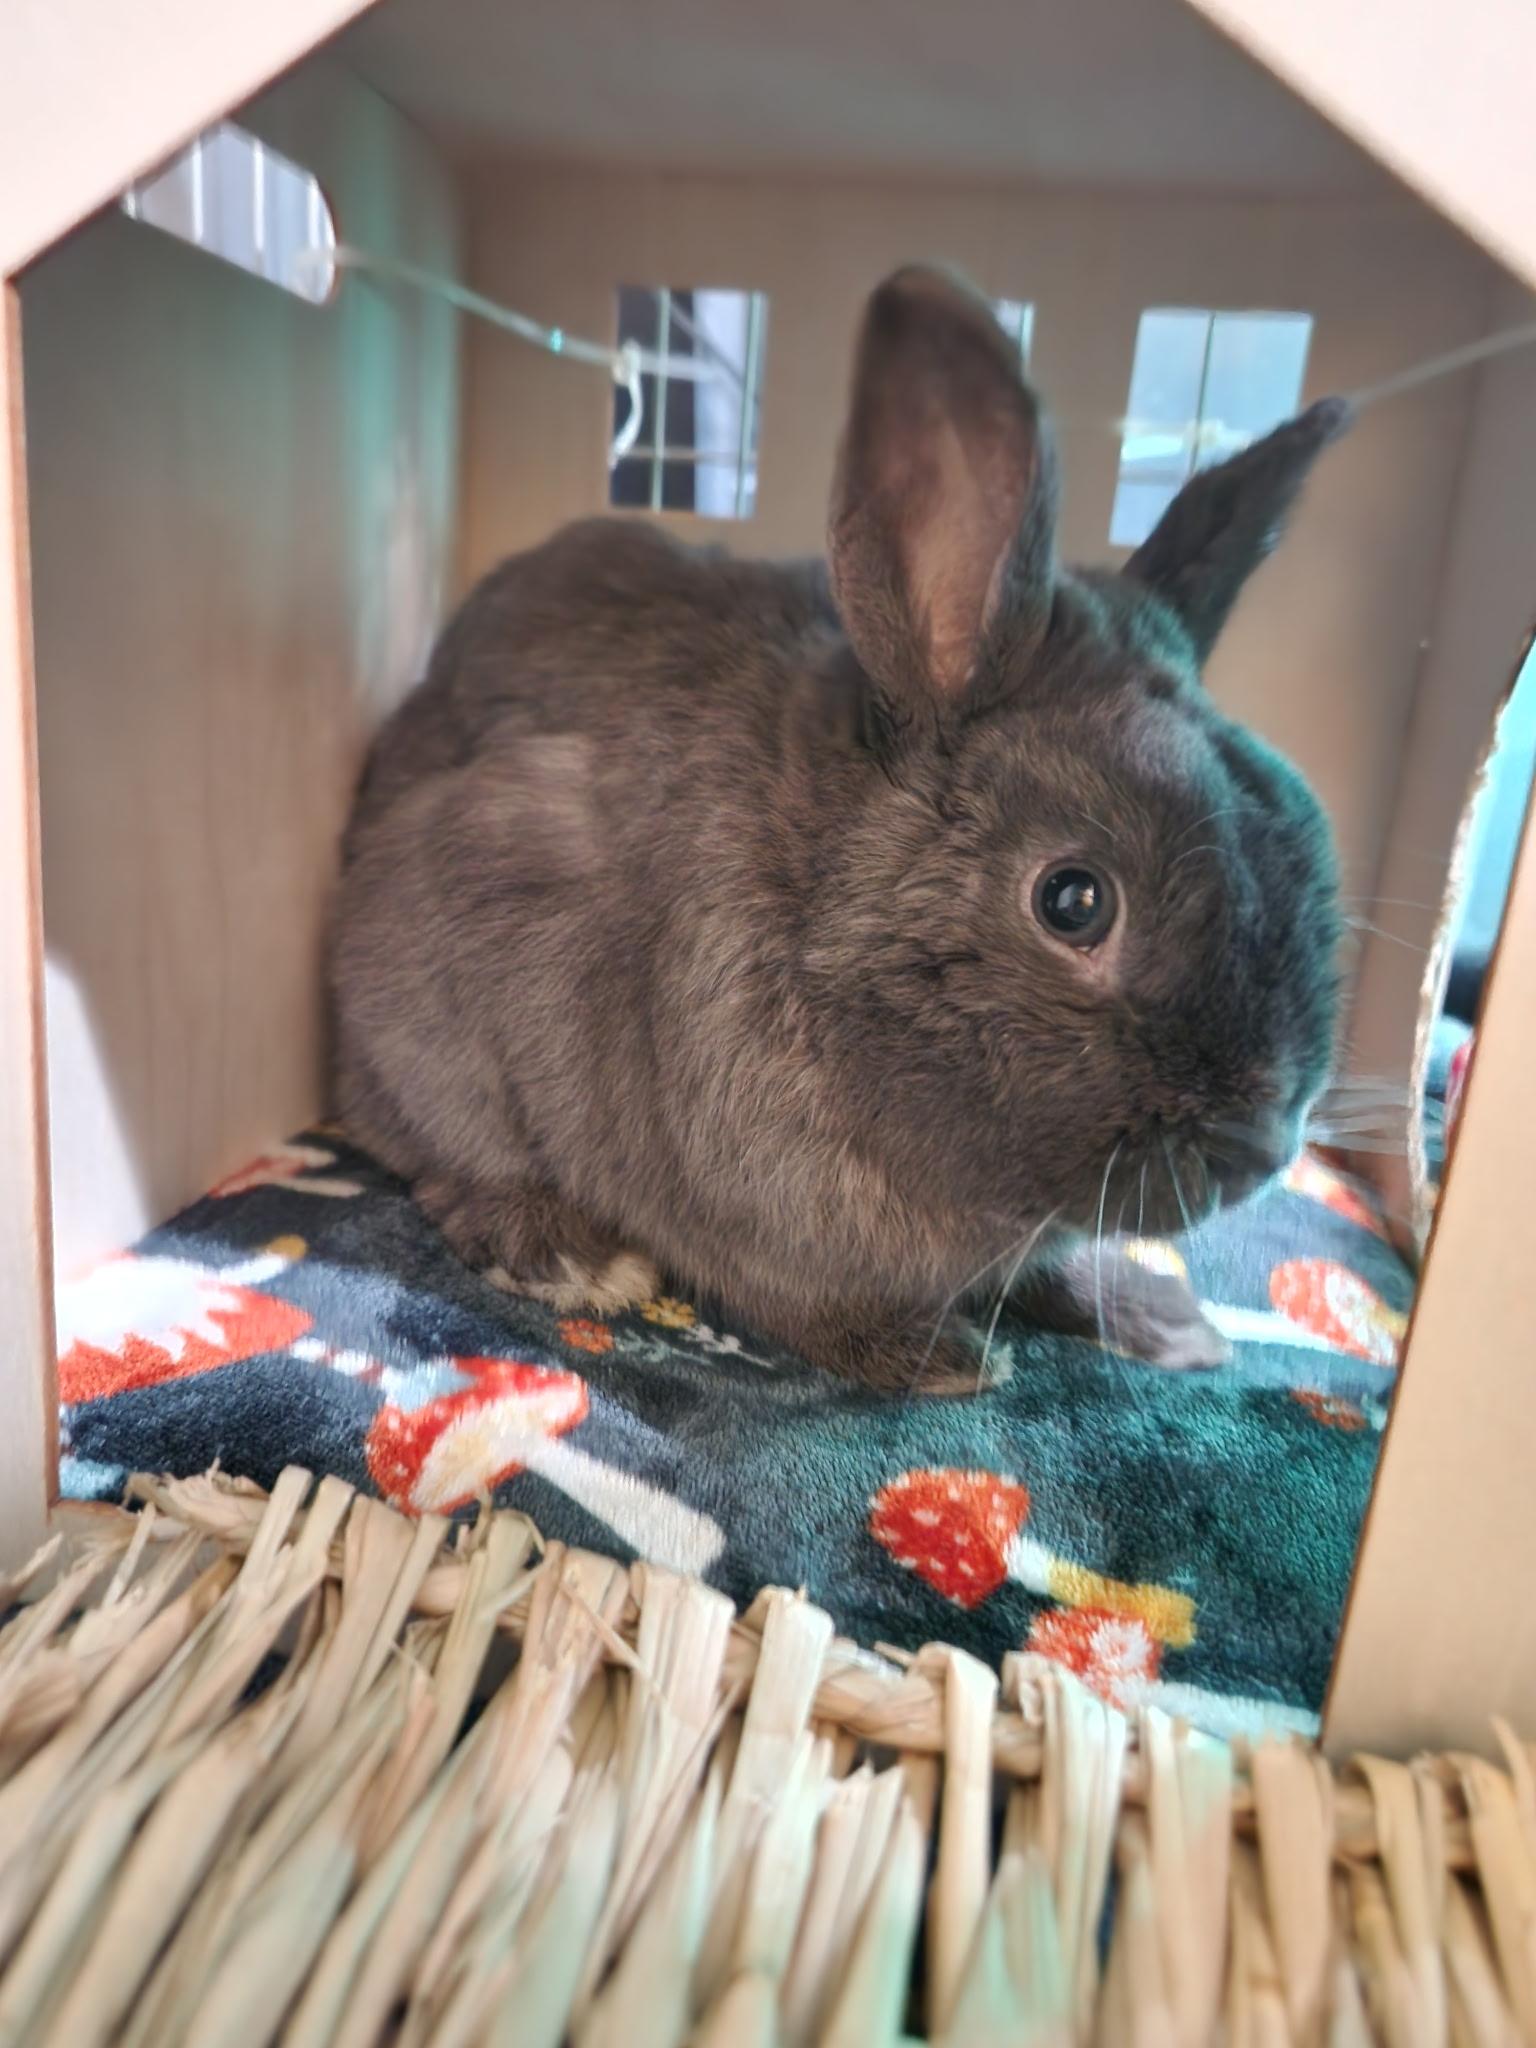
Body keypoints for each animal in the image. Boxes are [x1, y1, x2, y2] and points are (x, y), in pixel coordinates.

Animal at [329, 264, 1351, 1396]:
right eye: (1074, 900)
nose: (1262, 1147)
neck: (818, 902)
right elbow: (814, 1309)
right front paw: (945, 1360)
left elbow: (1056, 1271)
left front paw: (1161, 1324)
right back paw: (571, 1254)